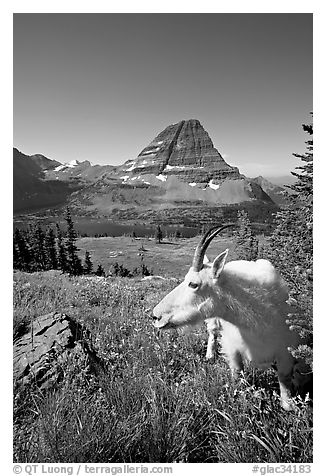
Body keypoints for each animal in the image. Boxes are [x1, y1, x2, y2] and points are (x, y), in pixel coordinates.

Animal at [153, 226, 310, 410]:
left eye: (193, 284)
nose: (156, 316)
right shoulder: (232, 346)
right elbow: (237, 373)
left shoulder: (286, 351)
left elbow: (284, 379)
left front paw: (289, 405)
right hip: (213, 320)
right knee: (212, 333)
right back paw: (209, 355)